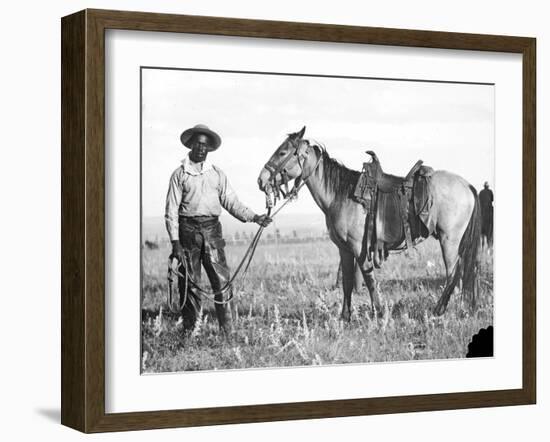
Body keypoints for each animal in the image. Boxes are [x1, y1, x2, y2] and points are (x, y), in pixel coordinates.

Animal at [258, 126, 484, 320]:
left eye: (282, 152)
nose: (261, 180)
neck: (340, 195)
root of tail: (467, 185)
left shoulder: (359, 247)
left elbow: (369, 279)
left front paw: (379, 313)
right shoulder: (344, 249)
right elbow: (348, 281)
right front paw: (345, 317)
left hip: (449, 240)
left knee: (454, 273)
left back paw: (440, 310)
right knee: (467, 270)